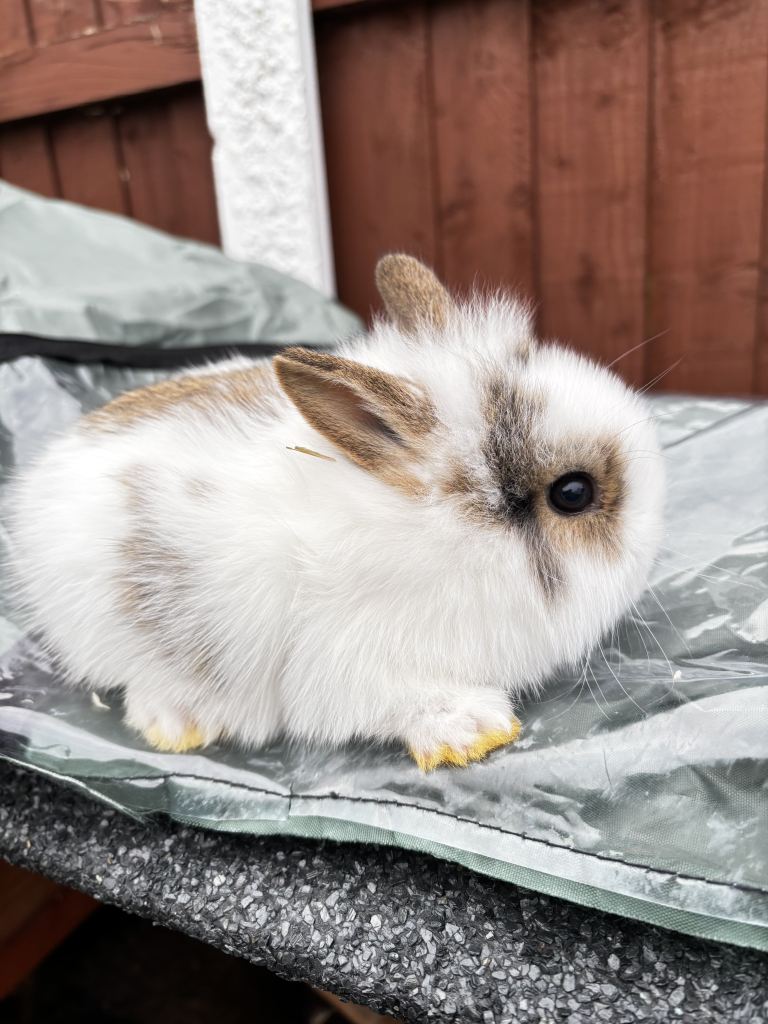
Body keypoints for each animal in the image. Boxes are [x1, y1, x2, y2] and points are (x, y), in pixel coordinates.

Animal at [8, 255, 664, 770]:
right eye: (573, 493)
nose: (653, 541)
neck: (446, 532)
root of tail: (35, 488)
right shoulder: (348, 667)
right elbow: (396, 702)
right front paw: (476, 729)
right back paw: (179, 722)